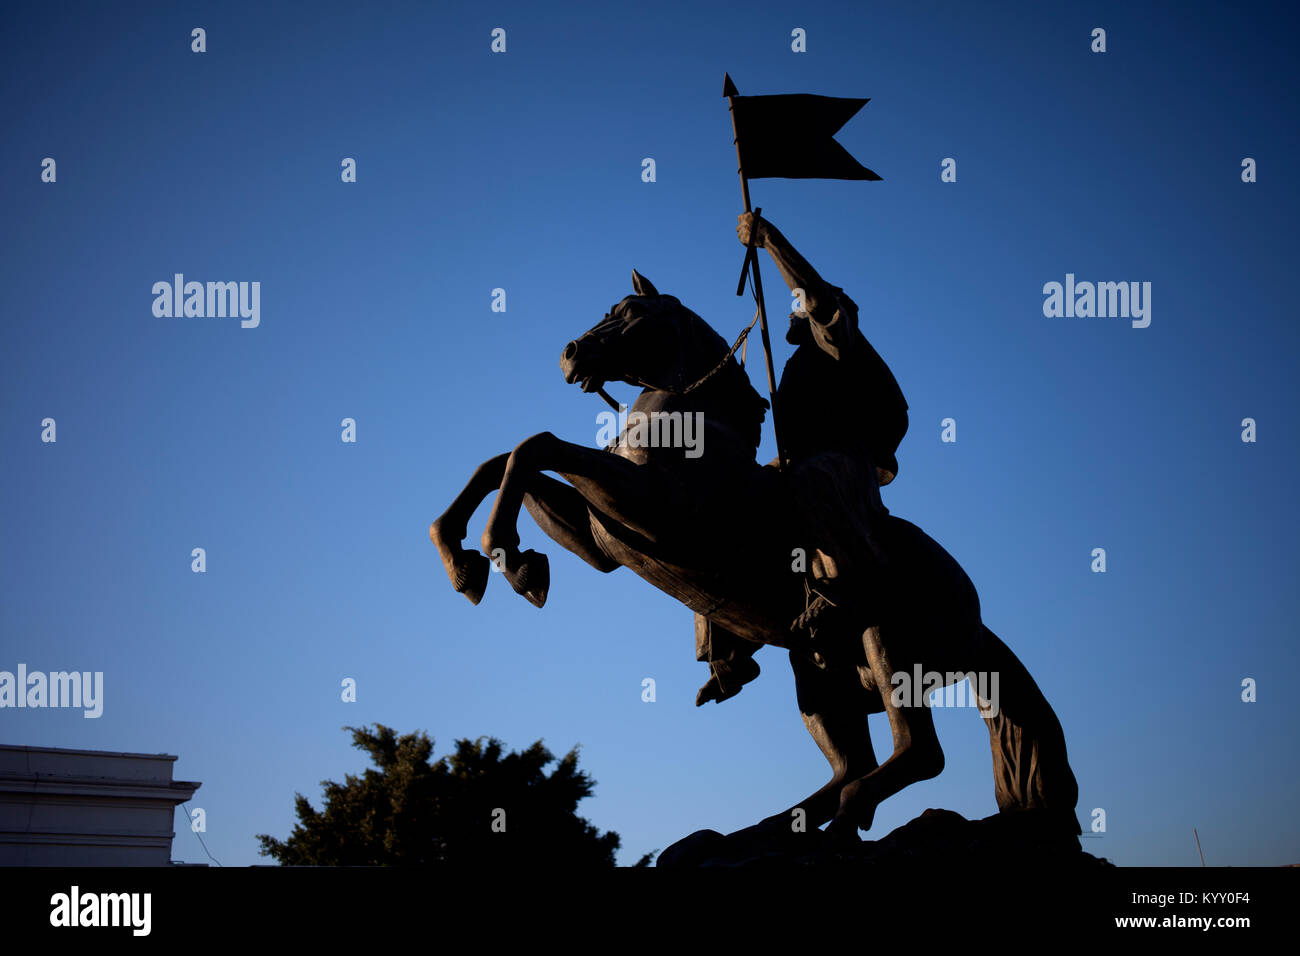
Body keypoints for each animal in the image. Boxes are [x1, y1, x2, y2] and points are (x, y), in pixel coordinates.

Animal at [431, 270, 1081, 837]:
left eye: (630, 311)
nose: (569, 354)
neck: (693, 426)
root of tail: (979, 624)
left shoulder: (655, 508)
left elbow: (535, 446)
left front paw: (506, 558)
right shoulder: (604, 543)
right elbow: (505, 459)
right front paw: (467, 560)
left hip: (886, 637)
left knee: (917, 753)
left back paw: (844, 819)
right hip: (818, 668)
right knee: (851, 763)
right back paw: (775, 824)